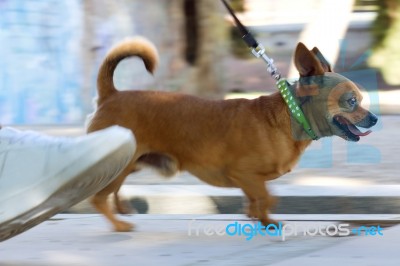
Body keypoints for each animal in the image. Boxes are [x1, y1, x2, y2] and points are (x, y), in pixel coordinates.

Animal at [86, 37, 378, 231]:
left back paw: (123, 209)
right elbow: (266, 196)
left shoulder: (250, 180)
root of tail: (111, 95)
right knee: (97, 197)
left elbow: (259, 197)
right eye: (352, 101)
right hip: (120, 164)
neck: (292, 115)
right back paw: (118, 224)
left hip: (131, 163)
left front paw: (257, 217)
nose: (374, 118)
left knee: (112, 190)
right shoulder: (244, 173)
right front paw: (265, 219)